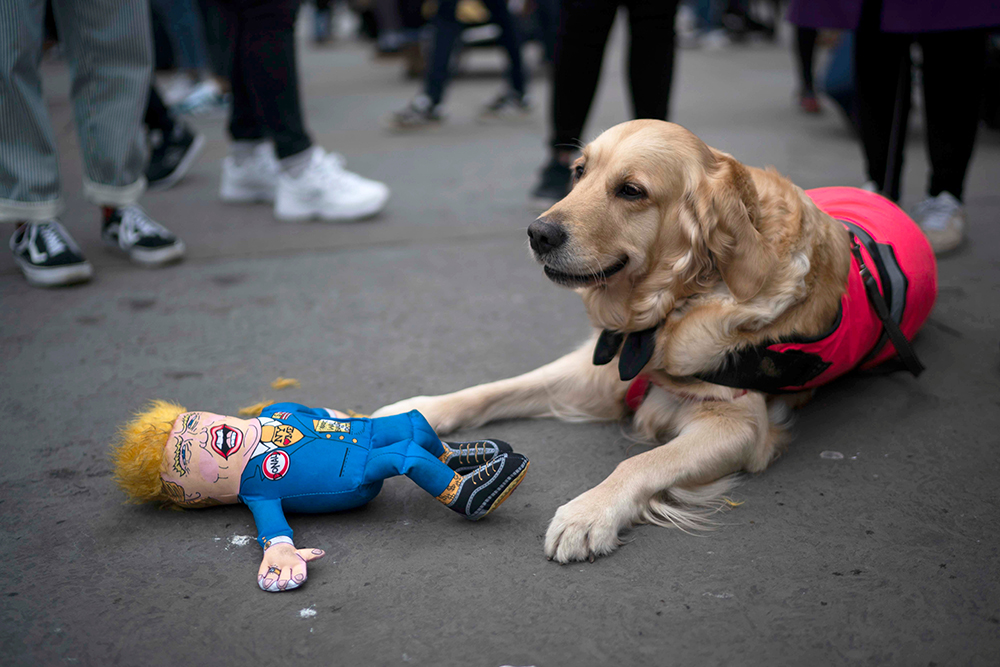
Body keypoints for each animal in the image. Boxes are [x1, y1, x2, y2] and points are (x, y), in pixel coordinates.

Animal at [376, 118, 928, 564]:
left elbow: (641, 460)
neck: (668, 310)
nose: (538, 233)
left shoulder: (740, 422)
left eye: (631, 190)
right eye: (579, 171)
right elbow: (494, 389)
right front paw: (417, 410)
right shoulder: (599, 368)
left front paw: (589, 513)